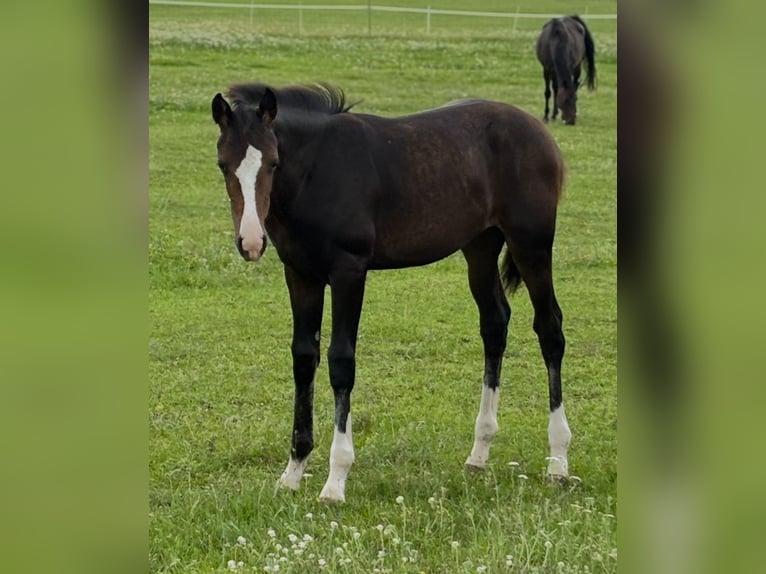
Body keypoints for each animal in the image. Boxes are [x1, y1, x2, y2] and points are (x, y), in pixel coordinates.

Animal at [211, 82, 572, 502]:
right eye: (223, 164)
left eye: (272, 163)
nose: (251, 242)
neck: (317, 170)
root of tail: (538, 129)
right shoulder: (300, 274)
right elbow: (303, 359)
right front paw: (293, 472)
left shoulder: (349, 271)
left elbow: (340, 362)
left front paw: (335, 480)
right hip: (480, 246)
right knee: (495, 325)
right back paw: (479, 453)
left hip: (531, 243)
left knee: (550, 329)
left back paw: (558, 461)